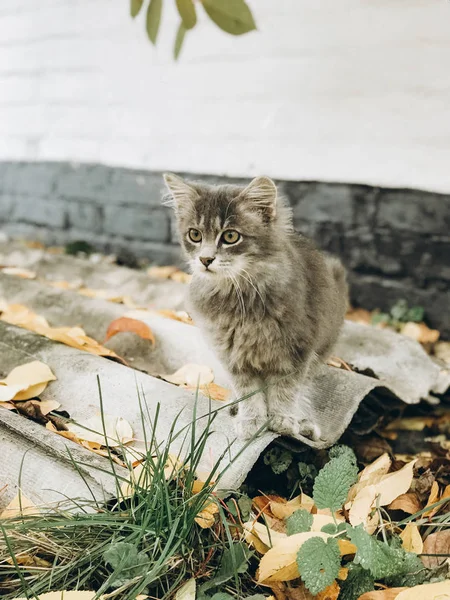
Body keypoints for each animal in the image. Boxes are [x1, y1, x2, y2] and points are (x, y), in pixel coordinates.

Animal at [163, 173, 346, 440]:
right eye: (194, 235)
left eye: (230, 237)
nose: (205, 259)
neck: (240, 296)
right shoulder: (233, 356)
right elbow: (249, 392)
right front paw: (251, 420)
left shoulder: (296, 352)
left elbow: (286, 390)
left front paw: (283, 419)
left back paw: (302, 420)